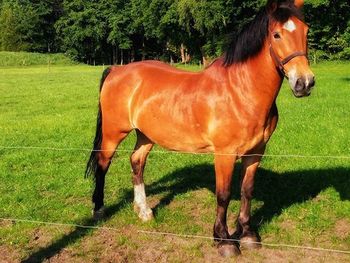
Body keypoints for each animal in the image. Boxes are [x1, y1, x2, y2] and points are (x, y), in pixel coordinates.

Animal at [85, 0, 314, 256]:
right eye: (277, 34)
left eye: (306, 31)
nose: (304, 83)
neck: (240, 90)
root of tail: (117, 69)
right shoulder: (225, 154)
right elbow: (224, 195)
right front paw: (224, 240)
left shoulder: (256, 152)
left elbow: (247, 190)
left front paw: (248, 234)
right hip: (113, 133)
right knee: (103, 164)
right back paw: (99, 210)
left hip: (146, 135)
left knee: (137, 162)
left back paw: (144, 211)